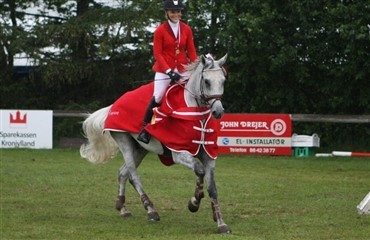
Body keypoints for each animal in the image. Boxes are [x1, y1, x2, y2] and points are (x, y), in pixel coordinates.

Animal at [80, 53, 231, 233]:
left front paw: (221, 223)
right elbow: (199, 171)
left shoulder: (209, 156)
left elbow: (213, 188)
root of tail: (113, 105)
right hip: (125, 143)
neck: (196, 113)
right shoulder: (179, 152)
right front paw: (194, 202)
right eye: (207, 81)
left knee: (123, 173)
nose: (218, 112)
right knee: (133, 175)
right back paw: (151, 210)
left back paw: (122, 208)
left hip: (140, 148)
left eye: (223, 81)